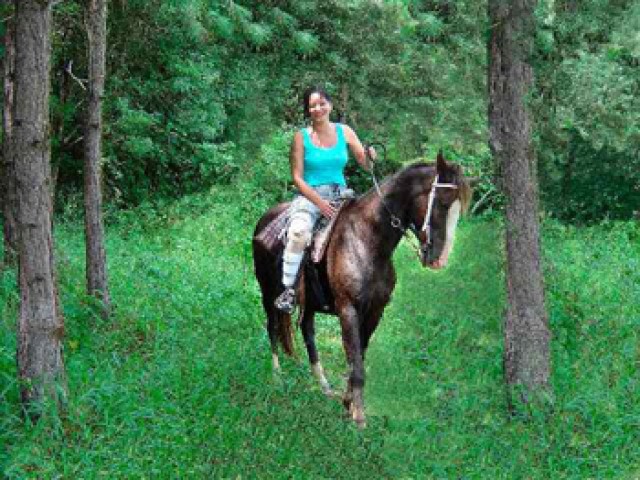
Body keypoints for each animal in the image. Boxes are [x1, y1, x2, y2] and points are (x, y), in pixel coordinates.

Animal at [252, 152, 472, 426]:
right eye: (442, 203)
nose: (438, 260)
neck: (366, 240)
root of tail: (264, 218)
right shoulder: (348, 310)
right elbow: (355, 363)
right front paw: (358, 418)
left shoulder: (375, 311)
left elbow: (359, 357)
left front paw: (348, 404)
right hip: (268, 292)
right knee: (272, 328)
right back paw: (278, 377)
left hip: (309, 303)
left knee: (307, 331)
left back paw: (324, 386)